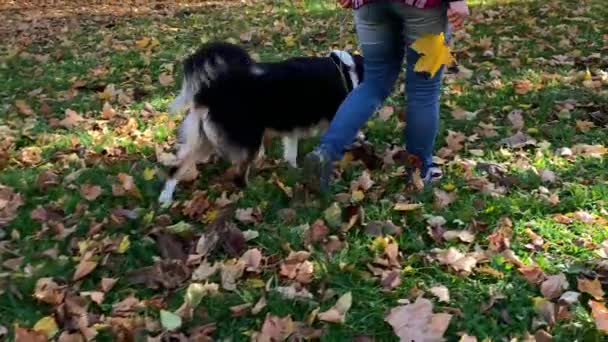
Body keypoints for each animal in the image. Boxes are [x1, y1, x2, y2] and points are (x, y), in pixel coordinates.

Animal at [159, 41, 364, 204]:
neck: (348, 71)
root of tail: (210, 92)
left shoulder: (292, 128)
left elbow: (291, 154)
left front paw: (295, 171)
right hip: (248, 139)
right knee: (239, 173)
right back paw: (253, 192)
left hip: (205, 140)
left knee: (177, 167)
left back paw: (165, 199)